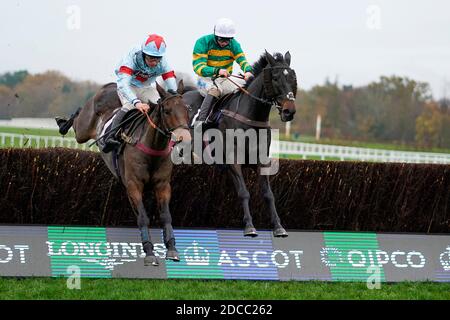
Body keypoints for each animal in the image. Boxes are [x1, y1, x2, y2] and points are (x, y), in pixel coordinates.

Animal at [55, 80, 191, 264]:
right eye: (167, 110)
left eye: (187, 109)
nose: (185, 138)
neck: (152, 147)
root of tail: (110, 85)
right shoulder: (134, 185)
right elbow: (143, 217)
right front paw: (149, 252)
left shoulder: (163, 185)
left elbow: (166, 216)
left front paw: (171, 249)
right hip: (83, 131)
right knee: (78, 119)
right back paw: (62, 123)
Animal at [181, 52, 298, 238]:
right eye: (275, 77)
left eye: (293, 77)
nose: (289, 111)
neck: (250, 117)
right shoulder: (233, 161)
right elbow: (243, 192)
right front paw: (249, 226)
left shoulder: (261, 161)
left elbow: (268, 194)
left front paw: (278, 227)